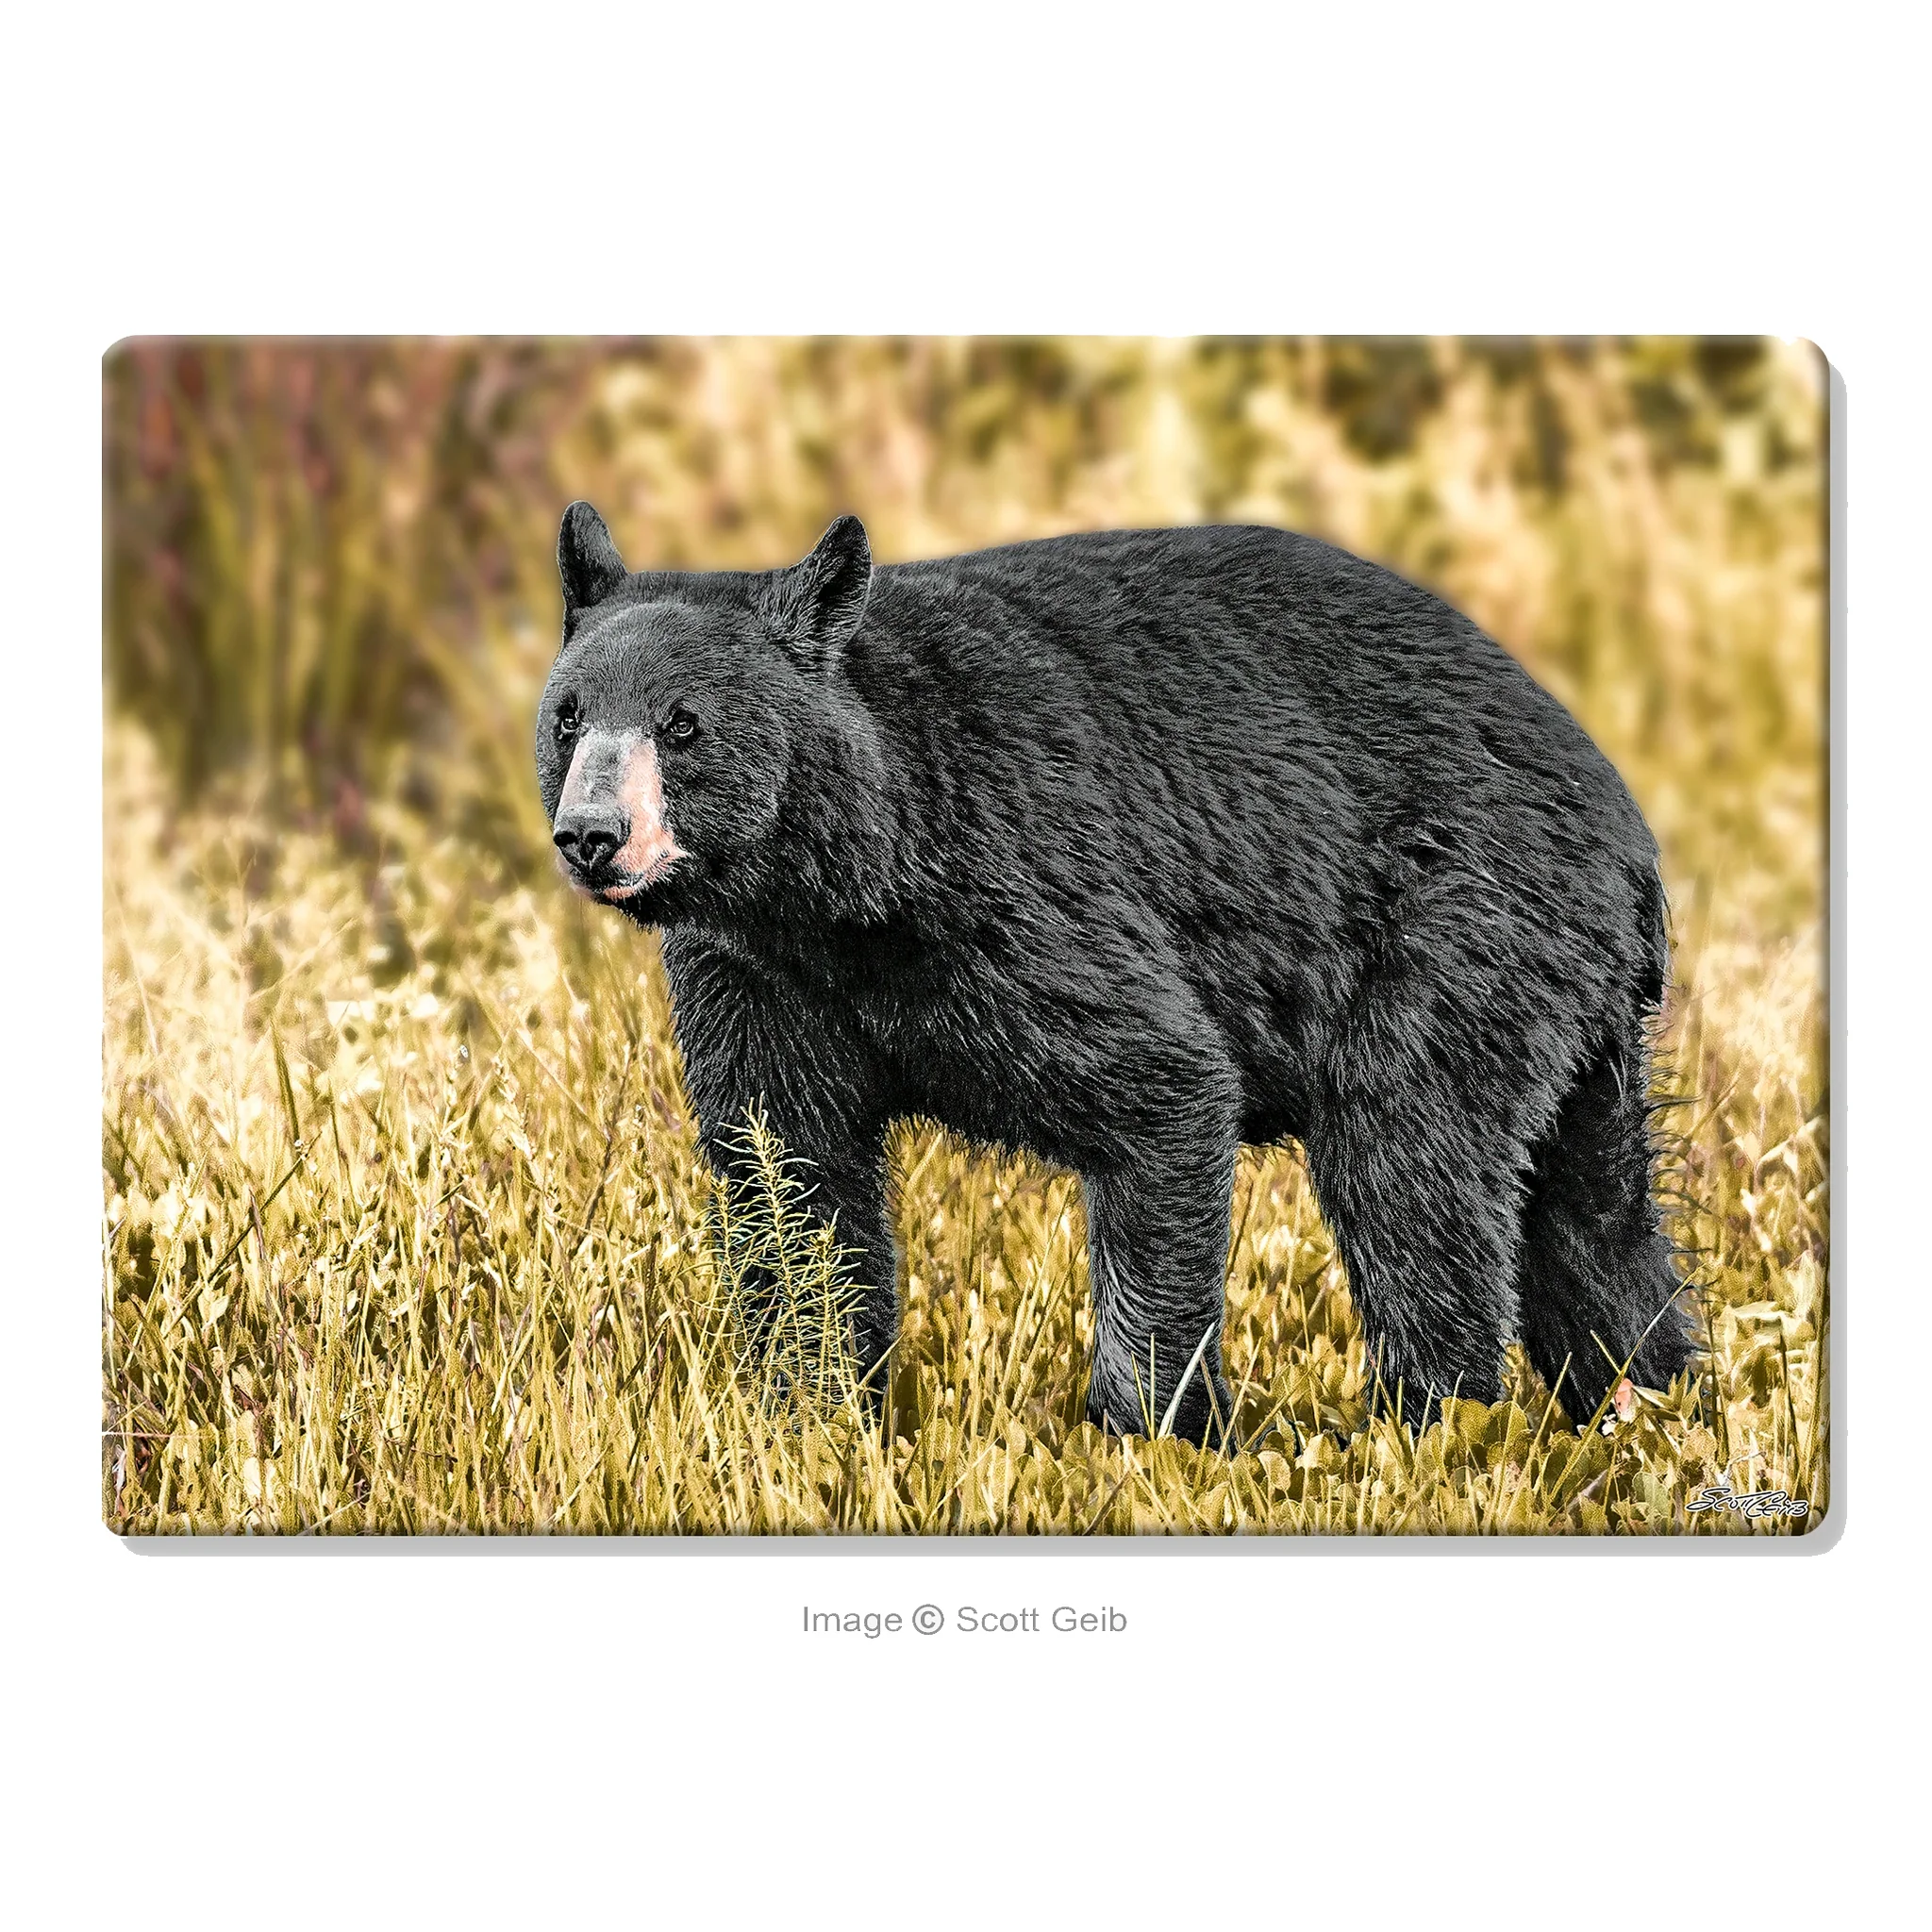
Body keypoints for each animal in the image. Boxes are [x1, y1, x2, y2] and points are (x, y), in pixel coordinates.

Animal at [536, 501, 1692, 1449]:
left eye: (683, 724)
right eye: (568, 715)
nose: (592, 836)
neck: (846, 894)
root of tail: (1625, 825)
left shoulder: (1023, 893)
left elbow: (1163, 1087)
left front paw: (1156, 1434)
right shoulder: (759, 975)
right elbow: (789, 1173)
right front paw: (810, 1416)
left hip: (1456, 925)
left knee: (1413, 1167)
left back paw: (1430, 1425)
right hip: (1565, 996)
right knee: (1593, 1213)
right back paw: (1655, 1398)